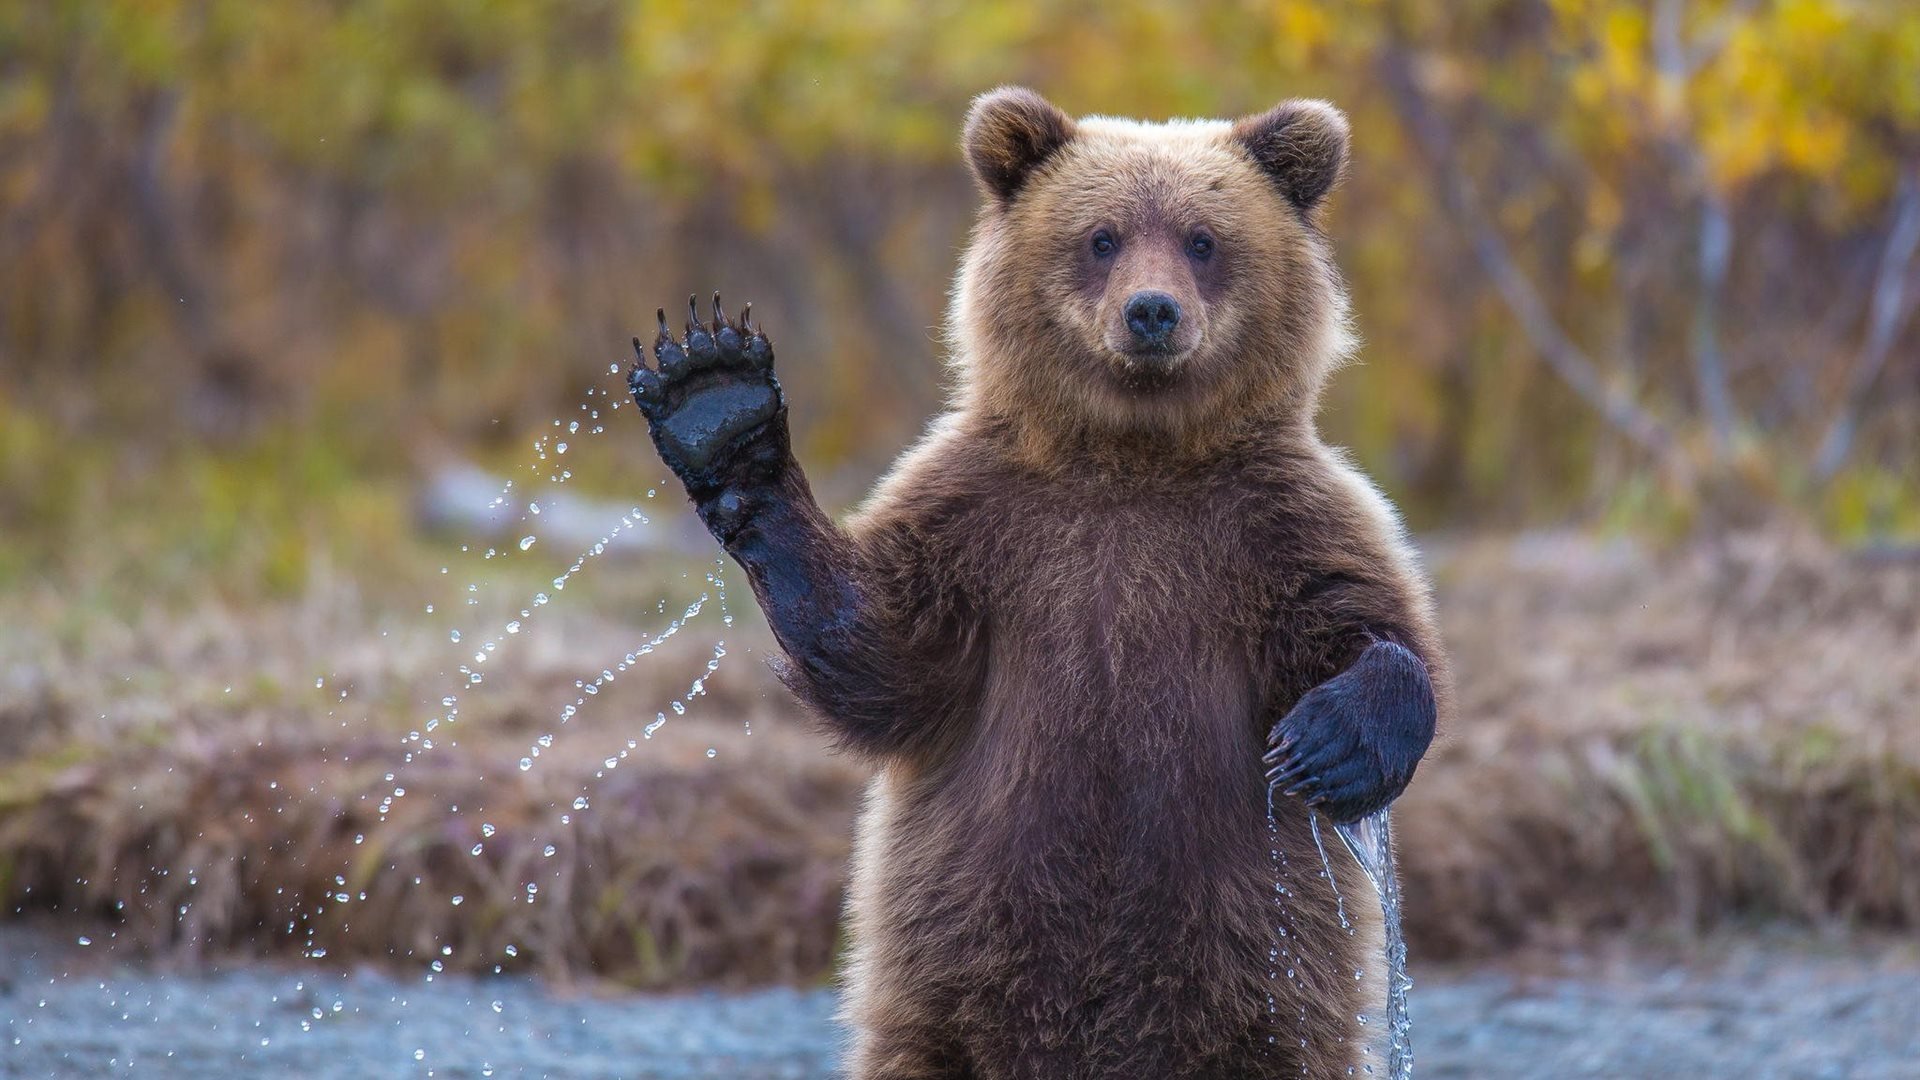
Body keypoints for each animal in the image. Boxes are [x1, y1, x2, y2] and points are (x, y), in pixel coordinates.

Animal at [627, 86, 1451, 1079]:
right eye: (1101, 236)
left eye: (1203, 238)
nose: (1151, 312)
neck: (1132, 455)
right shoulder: (984, 524)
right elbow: (883, 655)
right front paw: (717, 399)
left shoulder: (1276, 524)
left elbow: (1372, 624)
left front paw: (1326, 742)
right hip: (947, 981)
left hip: (1265, 990)